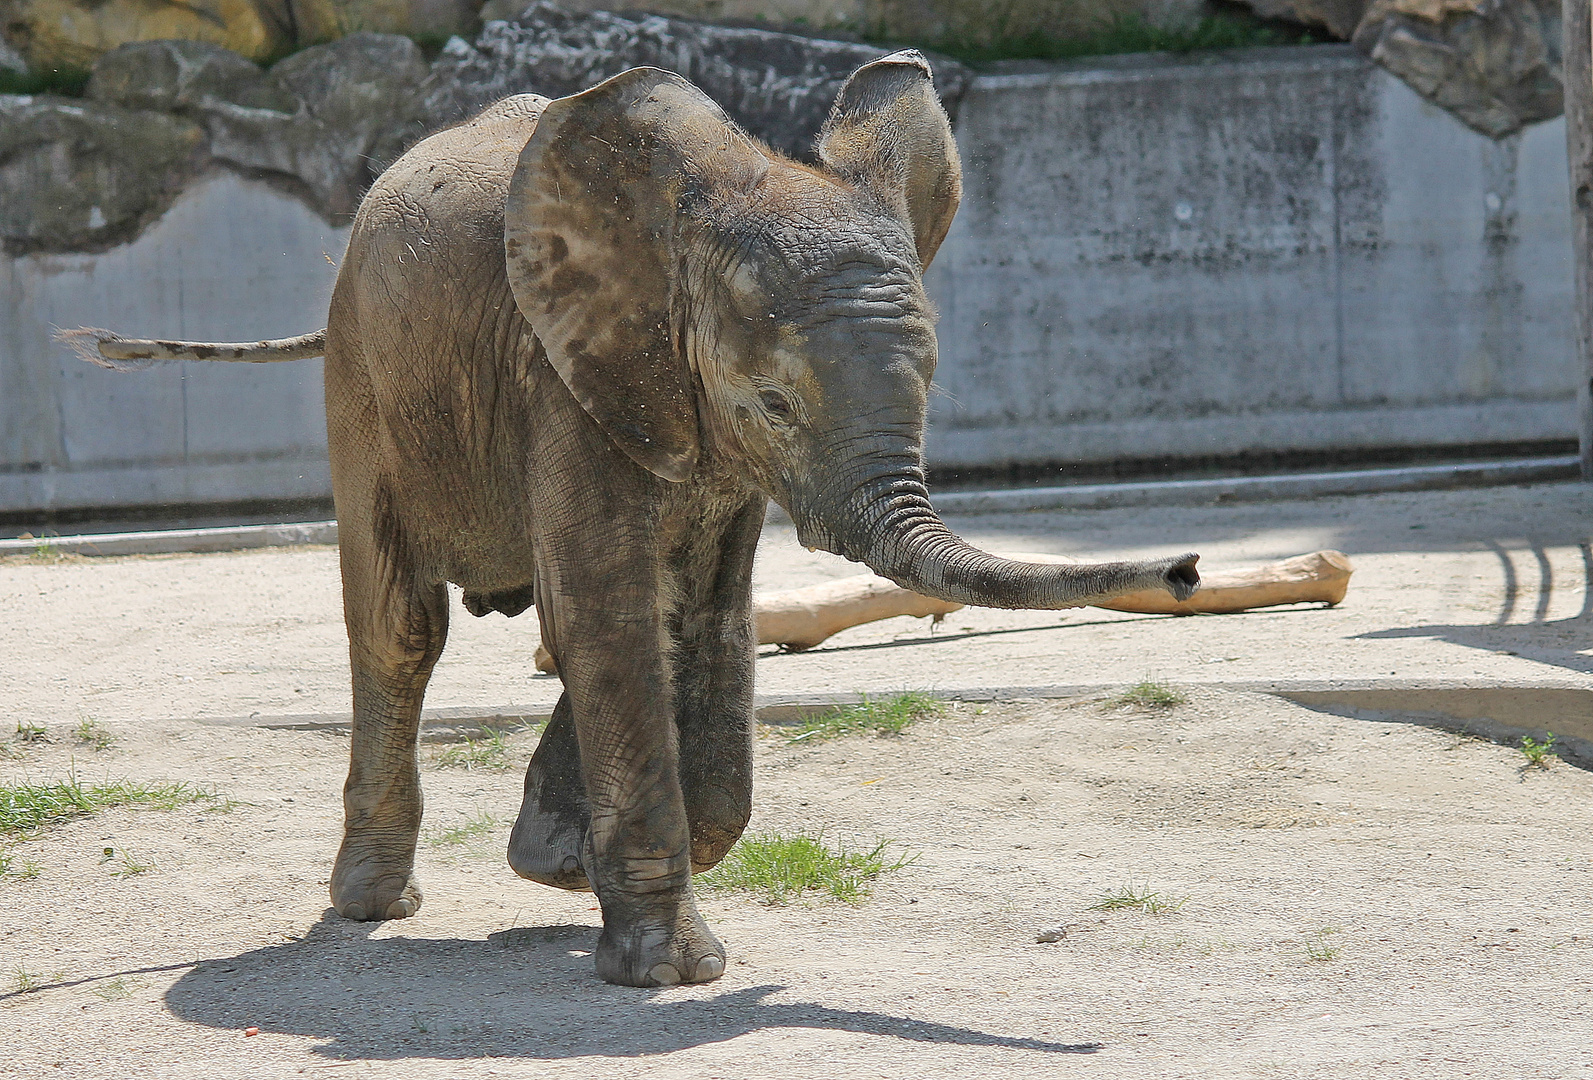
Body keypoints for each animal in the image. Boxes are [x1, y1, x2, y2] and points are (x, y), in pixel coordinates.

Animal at [71, 50, 1197, 987]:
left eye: (929, 382)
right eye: (771, 402)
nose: (1185, 570)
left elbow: (702, 619)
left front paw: (574, 869)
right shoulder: (566, 378)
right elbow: (610, 617)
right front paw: (668, 973)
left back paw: (544, 857)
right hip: (363, 386)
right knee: (403, 630)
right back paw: (374, 905)